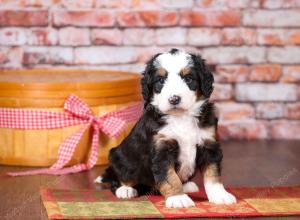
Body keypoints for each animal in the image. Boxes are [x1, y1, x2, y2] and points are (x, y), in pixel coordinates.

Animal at [96, 48, 237, 208]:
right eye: (161, 80)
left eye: (188, 78)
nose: (174, 99)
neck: (181, 117)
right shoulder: (161, 149)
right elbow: (170, 177)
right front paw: (178, 198)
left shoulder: (209, 144)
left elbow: (213, 174)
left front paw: (220, 195)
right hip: (119, 156)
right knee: (120, 177)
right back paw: (125, 189)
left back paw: (187, 185)